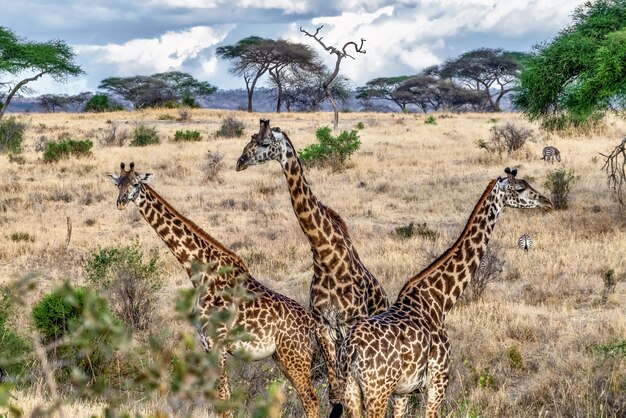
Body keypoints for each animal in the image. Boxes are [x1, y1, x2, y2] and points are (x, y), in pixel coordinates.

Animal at [106, 162, 316, 418]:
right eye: (118, 184)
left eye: (136, 184)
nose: (121, 202)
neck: (202, 274)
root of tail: (314, 325)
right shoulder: (206, 344)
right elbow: (218, 399)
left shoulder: (218, 343)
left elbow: (224, 399)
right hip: (282, 357)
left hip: (294, 356)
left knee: (311, 400)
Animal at [235, 119, 388, 416]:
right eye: (249, 139)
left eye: (263, 142)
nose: (240, 162)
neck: (327, 257)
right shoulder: (323, 328)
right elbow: (335, 394)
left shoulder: (350, 325)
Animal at [334, 167, 548, 418]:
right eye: (521, 188)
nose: (546, 201)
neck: (439, 301)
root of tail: (351, 351)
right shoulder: (439, 381)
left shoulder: (402, 392)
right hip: (377, 391)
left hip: (350, 388)